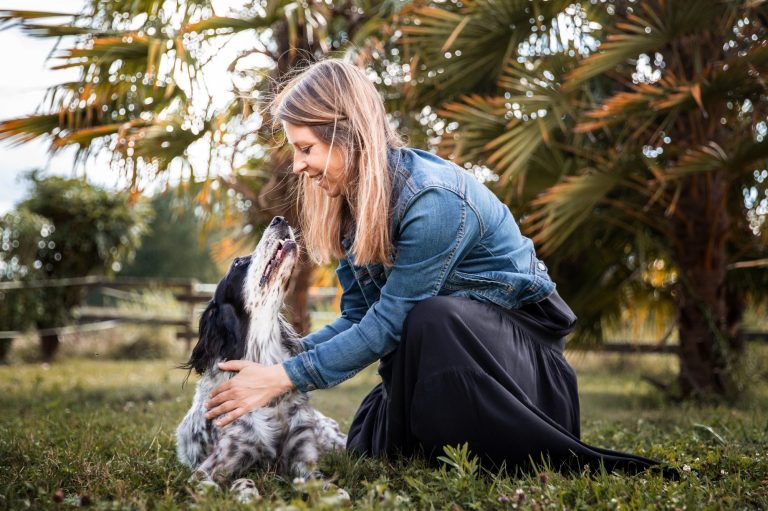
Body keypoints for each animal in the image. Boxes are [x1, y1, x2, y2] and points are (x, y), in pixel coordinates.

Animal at [176, 216, 346, 500]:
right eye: (237, 263)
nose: (279, 218)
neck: (263, 358)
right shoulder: (210, 468)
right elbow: (233, 480)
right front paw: (247, 493)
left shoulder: (303, 456)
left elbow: (323, 481)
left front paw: (337, 493)